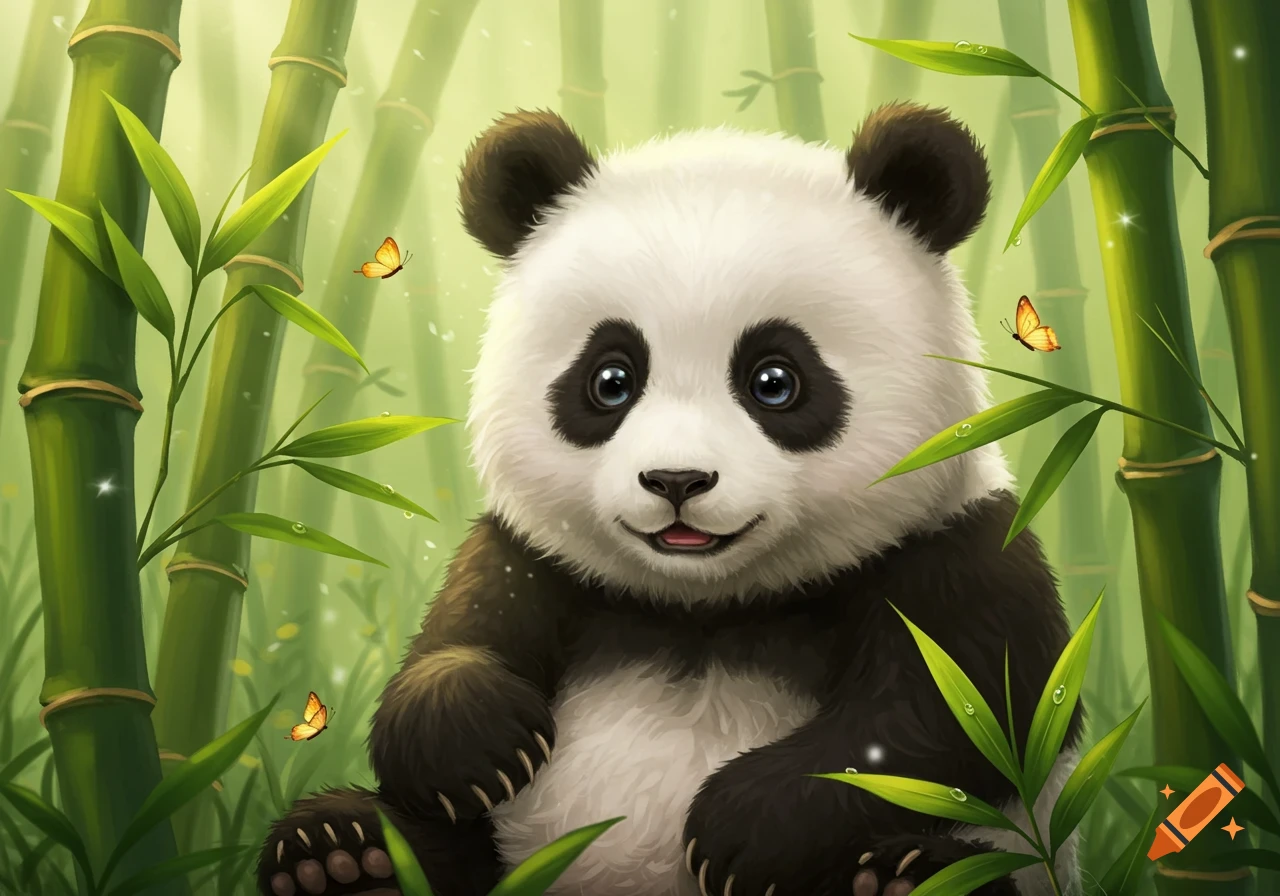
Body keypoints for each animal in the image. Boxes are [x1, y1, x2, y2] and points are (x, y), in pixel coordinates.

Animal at [257, 103, 1083, 896]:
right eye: (611, 379)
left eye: (775, 381)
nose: (677, 481)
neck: (704, 609)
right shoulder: (533, 555)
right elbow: (453, 643)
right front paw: (476, 743)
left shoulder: (953, 546)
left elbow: (954, 718)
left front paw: (743, 827)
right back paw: (343, 857)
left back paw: (898, 880)